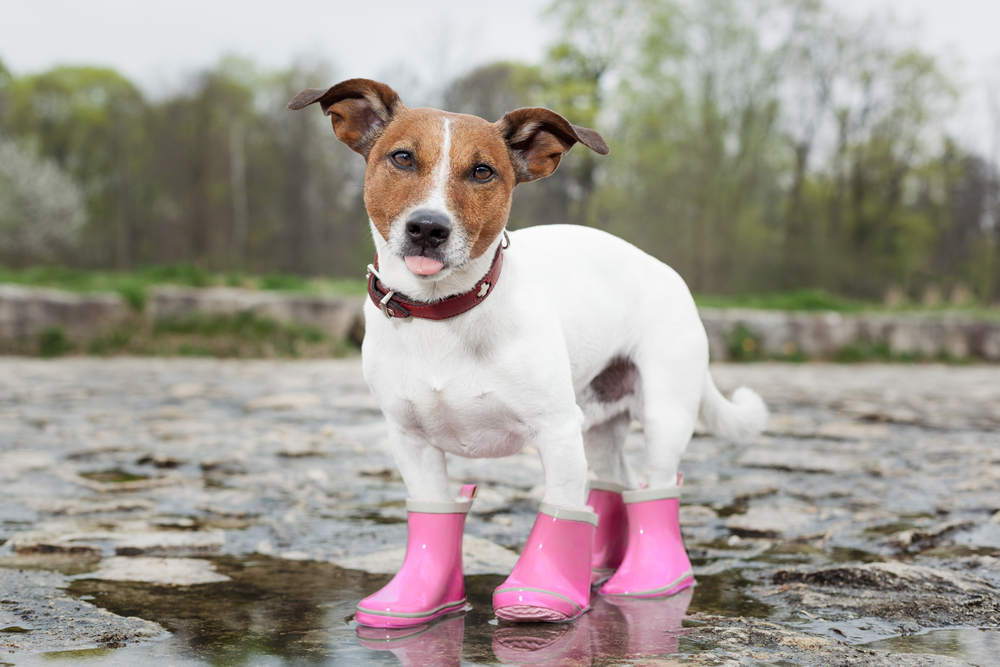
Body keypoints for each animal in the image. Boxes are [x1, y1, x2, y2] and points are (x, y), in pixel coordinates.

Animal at [286, 78, 768, 628]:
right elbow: (433, 514)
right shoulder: (411, 441)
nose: (428, 228)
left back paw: (651, 578)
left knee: (656, 488)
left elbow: (562, 508)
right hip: (598, 424)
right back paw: (600, 563)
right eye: (402, 158)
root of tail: (666, 271)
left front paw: (544, 591)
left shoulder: (557, 432)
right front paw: (421, 601)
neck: (443, 314)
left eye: (482, 171)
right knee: (614, 483)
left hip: (664, 414)